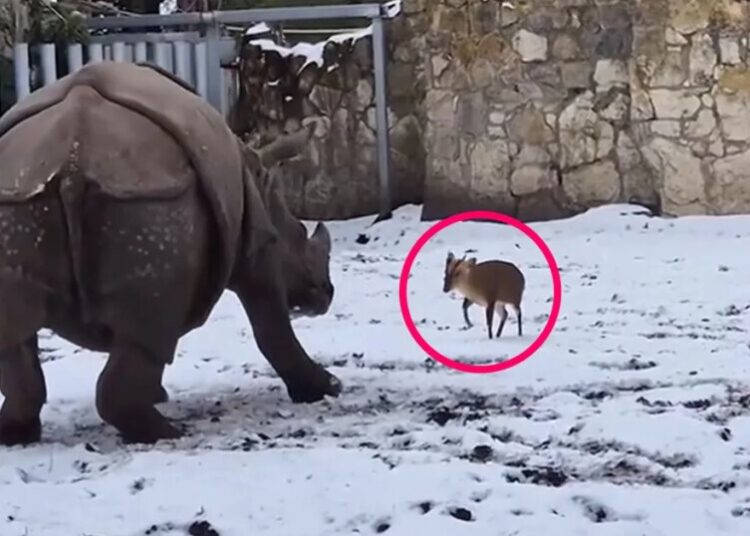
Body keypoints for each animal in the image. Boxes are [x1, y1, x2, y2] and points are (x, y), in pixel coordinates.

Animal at [0, 60, 342, 446]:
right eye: (300, 235)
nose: (326, 294)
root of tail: (72, 159)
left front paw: (157, 394)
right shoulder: (257, 242)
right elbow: (270, 320)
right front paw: (327, 388)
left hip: (21, 201)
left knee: (15, 342)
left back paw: (16, 435)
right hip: (151, 202)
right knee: (146, 333)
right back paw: (169, 433)